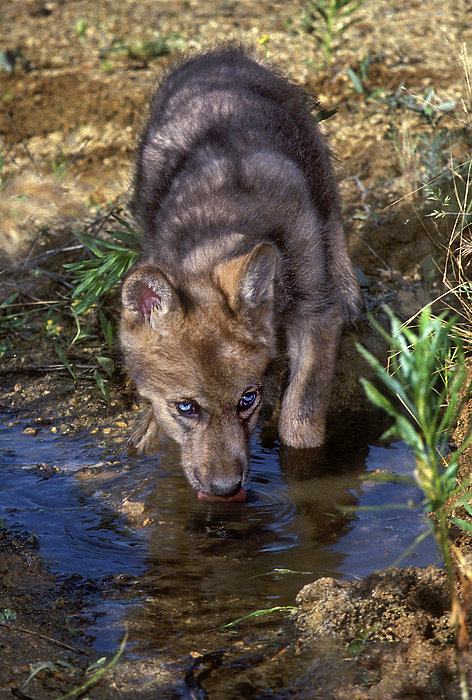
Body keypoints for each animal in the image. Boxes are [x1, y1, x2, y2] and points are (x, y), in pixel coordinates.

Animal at [120, 48, 361, 501]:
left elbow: (300, 417)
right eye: (186, 407)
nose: (225, 489)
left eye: (247, 399)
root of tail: (222, 55)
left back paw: (350, 287)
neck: (223, 228)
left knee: (334, 216)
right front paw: (147, 429)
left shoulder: (317, 315)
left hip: (317, 162)